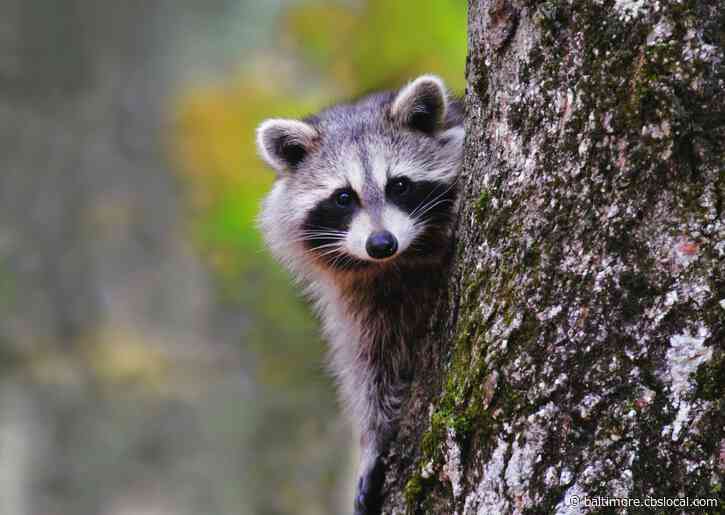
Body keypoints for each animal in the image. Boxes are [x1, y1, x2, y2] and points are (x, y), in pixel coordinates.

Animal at [256, 75, 464, 514]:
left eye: (399, 185)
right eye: (343, 197)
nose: (381, 243)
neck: (396, 263)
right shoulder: (357, 298)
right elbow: (369, 363)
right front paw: (374, 439)